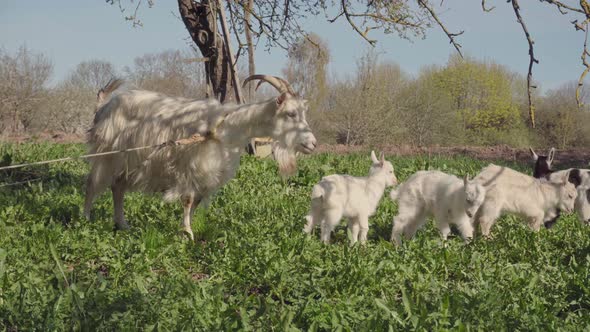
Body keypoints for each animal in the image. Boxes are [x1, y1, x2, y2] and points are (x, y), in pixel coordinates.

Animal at [83, 75, 320, 239]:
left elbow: (195, 202)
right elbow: (188, 200)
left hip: (128, 160)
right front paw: (187, 234)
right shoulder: (191, 165)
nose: (313, 144)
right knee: (93, 184)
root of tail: (103, 106)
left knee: (117, 188)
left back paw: (122, 224)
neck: (225, 128)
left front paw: (186, 229)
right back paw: (85, 220)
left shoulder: (208, 173)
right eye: (291, 113)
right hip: (108, 155)